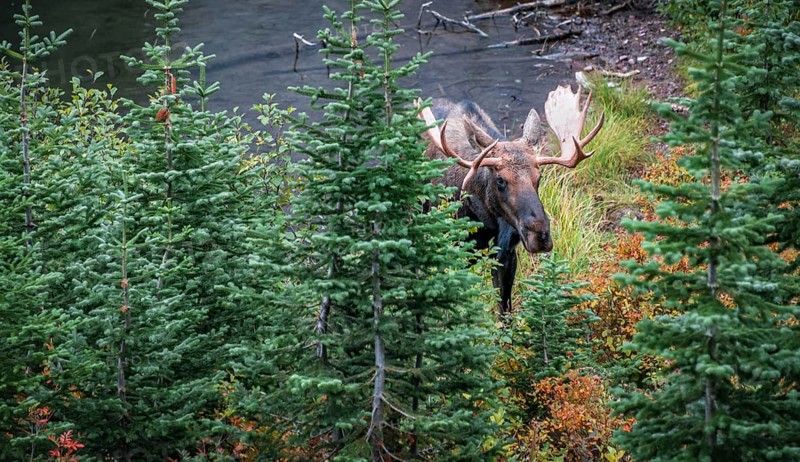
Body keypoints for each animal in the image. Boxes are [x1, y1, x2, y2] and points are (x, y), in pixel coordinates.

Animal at [417, 85, 604, 315]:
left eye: (539, 177)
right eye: (500, 180)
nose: (540, 235)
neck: (484, 223)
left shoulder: (506, 254)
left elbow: (504, 310)